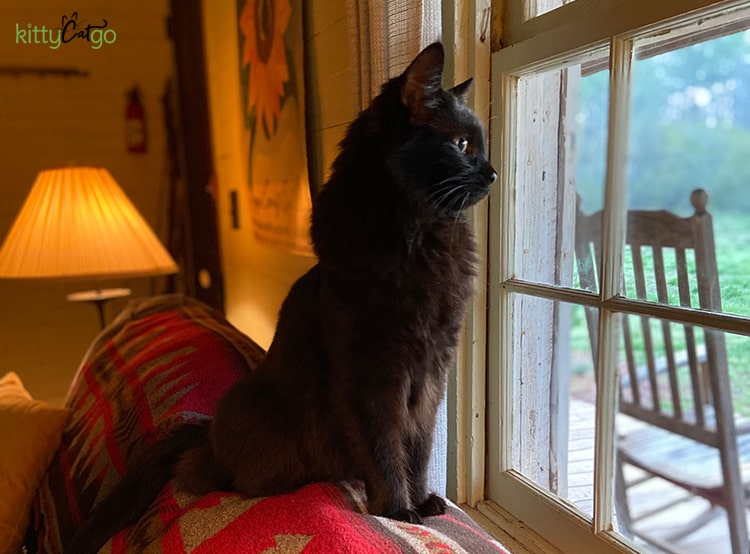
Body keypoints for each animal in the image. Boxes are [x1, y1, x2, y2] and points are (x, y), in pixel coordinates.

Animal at [66, 43, 500, 552]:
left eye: (479, 146)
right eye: (463, 145)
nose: (493, 173)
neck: (421, 234)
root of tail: (205, 432)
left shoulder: (430, 374)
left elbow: (418, 446)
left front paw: (425, 501)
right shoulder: (371, 376)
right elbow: (385, 448)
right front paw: (397, 509)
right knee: (198, 474)